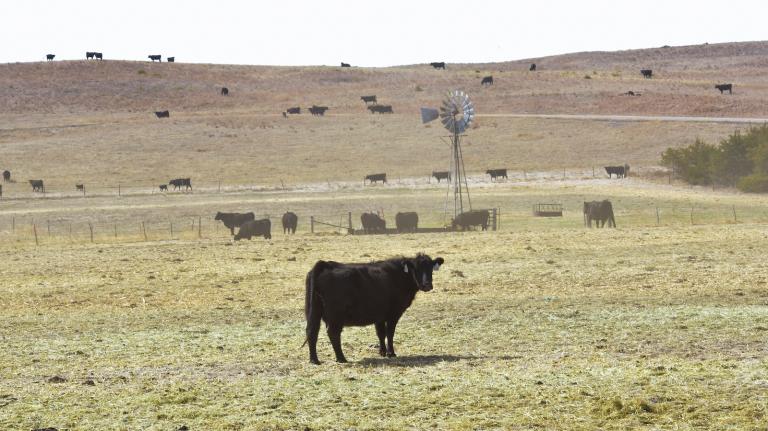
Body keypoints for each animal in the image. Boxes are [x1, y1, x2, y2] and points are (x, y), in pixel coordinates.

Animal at [304, 253, 445, 364]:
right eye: (416, 269)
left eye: (431, 268)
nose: (427, 285)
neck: (399, 275)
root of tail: (325, 264)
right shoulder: (393, 314)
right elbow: (390, 333)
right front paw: (391, 353)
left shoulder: (379, 315)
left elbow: (381, 333)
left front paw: (382, 352)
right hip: (335, 315)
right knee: (333, 333)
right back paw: (341, 358)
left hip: (313, 312)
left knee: (312, 332)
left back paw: (314, 360)